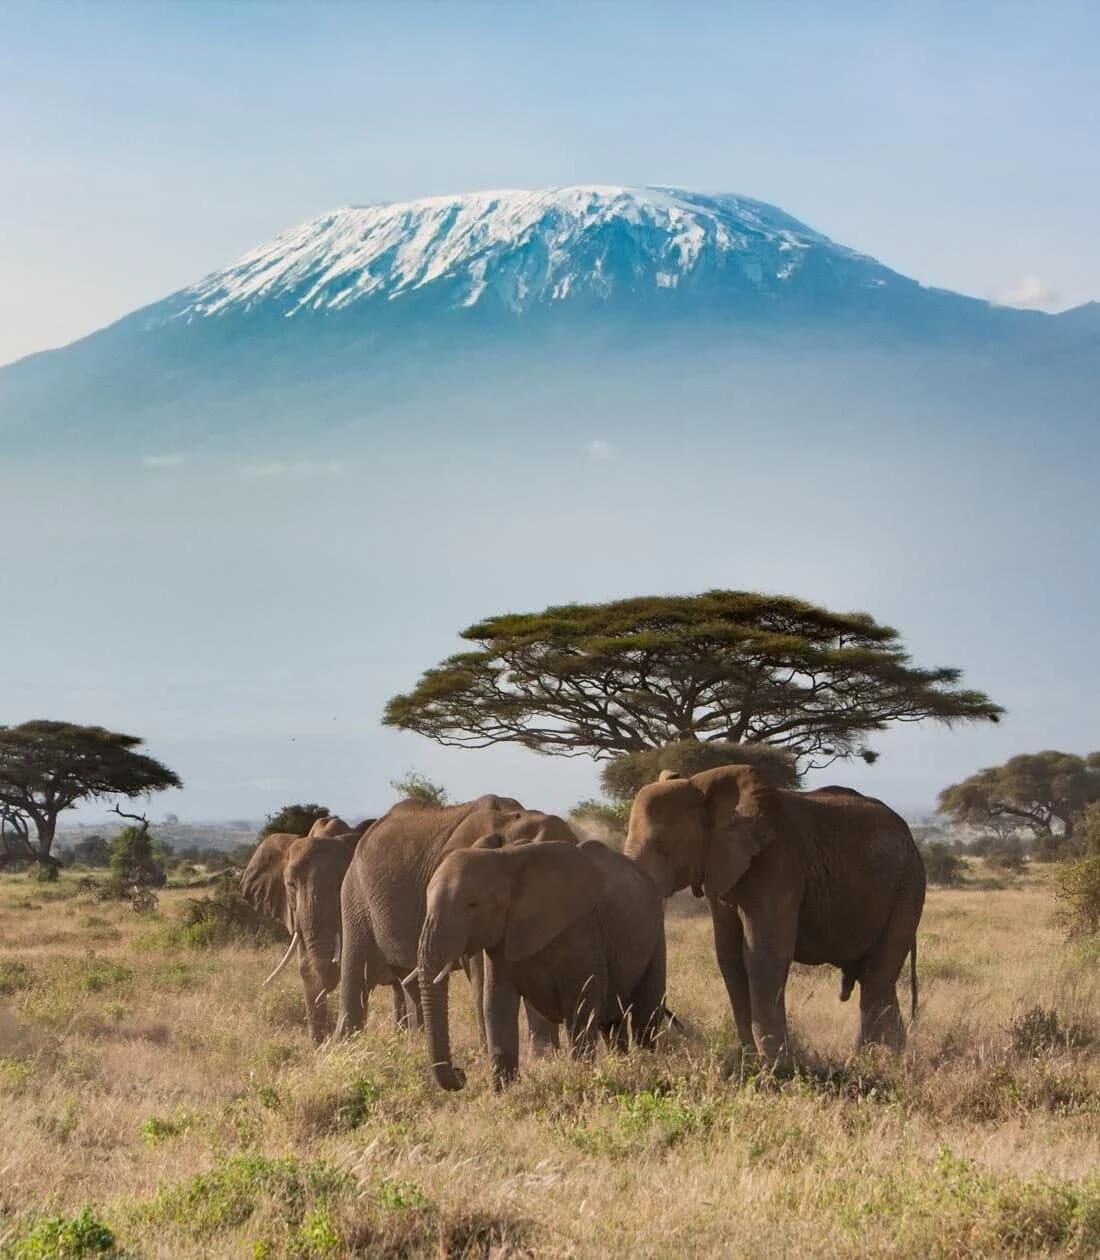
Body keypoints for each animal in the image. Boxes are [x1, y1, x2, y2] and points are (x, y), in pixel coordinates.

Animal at [335, 795, 577, 1061]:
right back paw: (343, 1049)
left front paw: (544, 1058)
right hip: (356, 896)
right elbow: (482, 976)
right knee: (359, 973)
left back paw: (415, 1045)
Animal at [418, 837, 668, 1091]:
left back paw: (648, 1065)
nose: (461, 1073)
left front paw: (582, 1078)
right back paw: (625, 1066)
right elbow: (496, 1005)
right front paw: (505, 1093)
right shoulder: (501, 940)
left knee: (644, 1015)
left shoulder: (582, 929)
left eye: (472, 904)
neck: (504, 860)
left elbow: (582, 1006)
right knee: (612, 1024)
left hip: (655, 933)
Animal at [624, 766, 925, 1060]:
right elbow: (730, 959)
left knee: (877, 975)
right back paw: (881, 1056)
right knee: (874, 977)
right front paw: (751, 1060)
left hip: (908, 887)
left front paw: (776, 1064)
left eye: (662, 845)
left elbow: (764, 957)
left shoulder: (777, 865)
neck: (701, 784)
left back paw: (876, 1059)